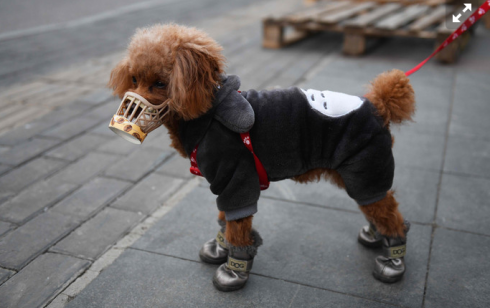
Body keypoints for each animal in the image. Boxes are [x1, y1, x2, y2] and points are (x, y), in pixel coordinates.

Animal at [107, 24, 414, 292]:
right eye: (134, 79)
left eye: (160, 83)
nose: (129, 106)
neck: (206, 111)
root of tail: (378, 106)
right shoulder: (225, 183)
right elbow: (227, 219)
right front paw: (221, 246)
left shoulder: (237, 179)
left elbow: (238, 226)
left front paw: (234, 270)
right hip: (361, 174)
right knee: (379, 207)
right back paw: (376, 235)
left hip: (366, 168)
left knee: (389, 213)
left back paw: (393, 259)